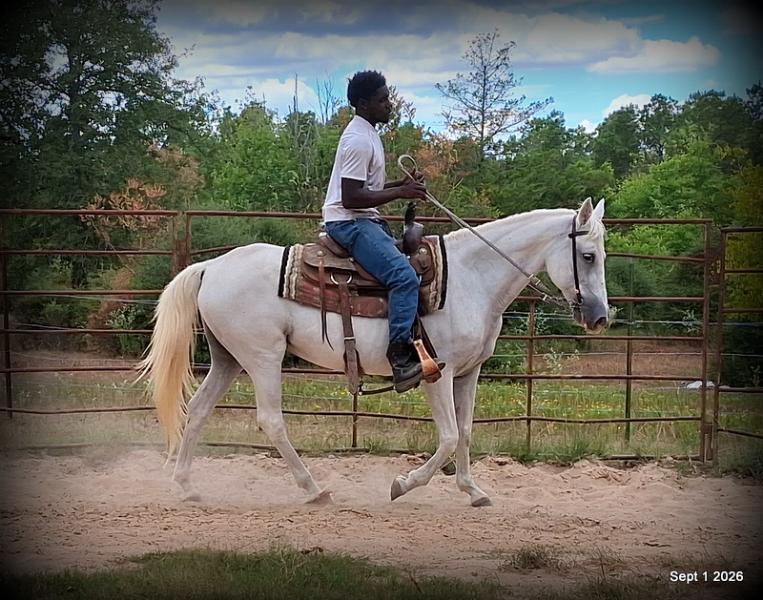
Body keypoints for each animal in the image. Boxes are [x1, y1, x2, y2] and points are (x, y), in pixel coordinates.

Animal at [139, 198, 609, 507]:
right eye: (587, 256)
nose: (600, 317)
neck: (471, 278)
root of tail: (211, 266)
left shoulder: (469, 373)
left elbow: (465, 432)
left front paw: (473, 491)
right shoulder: (438, 372)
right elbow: (448, 435)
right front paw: (403, 484)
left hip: (228, 359)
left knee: (199, 409)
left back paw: (187, 486)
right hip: (262, 358)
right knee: (271, 420)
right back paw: (313, 489)